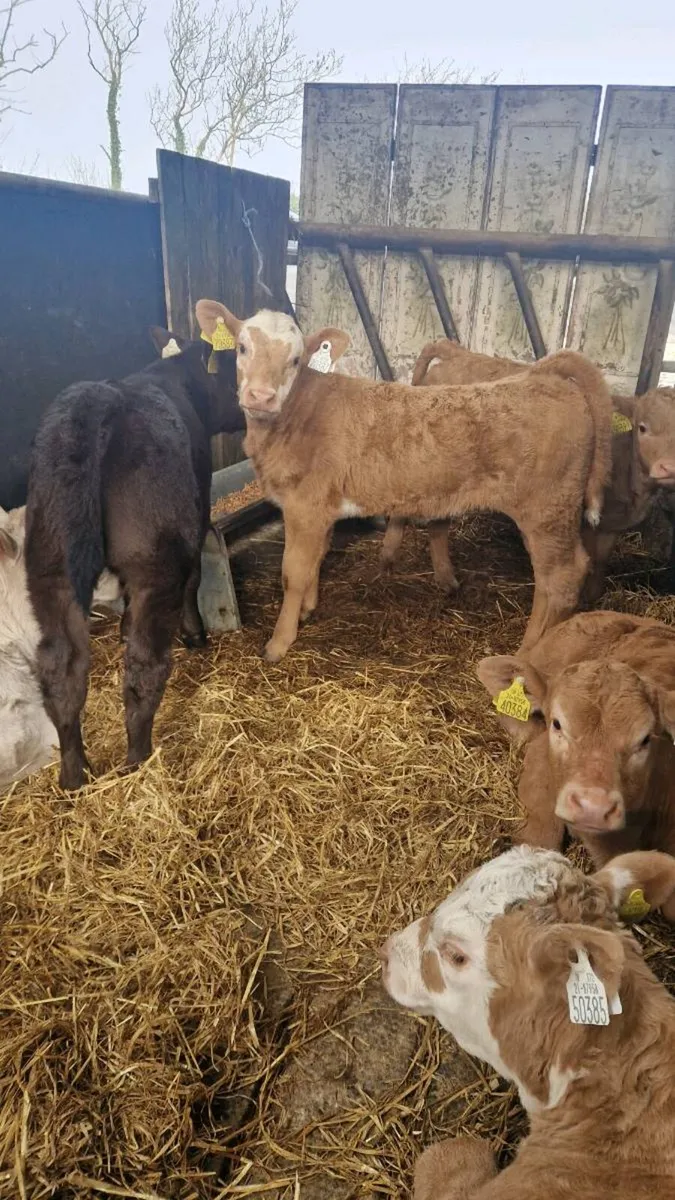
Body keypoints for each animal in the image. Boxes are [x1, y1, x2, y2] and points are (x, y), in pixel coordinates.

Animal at [25, 320, 242, 789]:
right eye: (232, 376)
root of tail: (99, 397)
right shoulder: (195, 520)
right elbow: (195, 580)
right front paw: (195, 636)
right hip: (156, 562)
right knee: (145, 667)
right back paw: (138, 759)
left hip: (51, 567)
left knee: (61, 669)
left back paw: (75, 775)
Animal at [195, 301, 611, 664]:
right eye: (242, 347)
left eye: (295, 360)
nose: (260, 396)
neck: (297, 415)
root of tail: (542, 376)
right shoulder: (321, 509)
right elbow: (316, 559)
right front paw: (308, 610)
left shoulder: (304, 506)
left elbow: (293, 573)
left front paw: (279, 643)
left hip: (547, 509)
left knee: (560, 578)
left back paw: (527, 655)